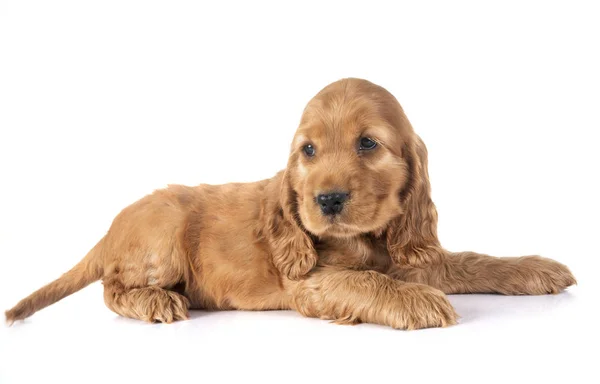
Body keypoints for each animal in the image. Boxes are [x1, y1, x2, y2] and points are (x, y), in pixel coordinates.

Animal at [4, 78, 576, 330]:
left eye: (368, 143)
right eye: (308, 150)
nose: (327, 199)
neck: (365, 237)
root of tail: (109, 231)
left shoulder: (410, 255)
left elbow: (471, 261)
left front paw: (535, 269)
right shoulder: (310, 282)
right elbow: (365, 282)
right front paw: (418, 302)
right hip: (162, 235)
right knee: (111, 287)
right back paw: (157, 302)